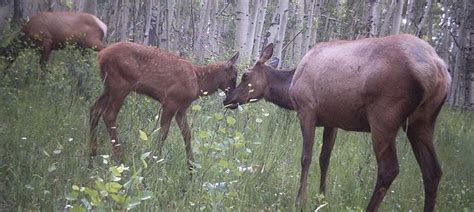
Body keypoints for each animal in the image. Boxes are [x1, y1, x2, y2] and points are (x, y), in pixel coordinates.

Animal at [90, 41, 239, 171]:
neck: (198, 83)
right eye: (234, 77)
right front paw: (156, 160)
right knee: (109, 114)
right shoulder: (170, 102)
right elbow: (163, 133)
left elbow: (187, 134)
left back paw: (92, 153)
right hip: (120, 84)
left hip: (108, 86)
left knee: (95, 109)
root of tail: (101, 55)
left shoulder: (181, 108)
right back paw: (118, 156)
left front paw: (191, 167)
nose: (232, 102)